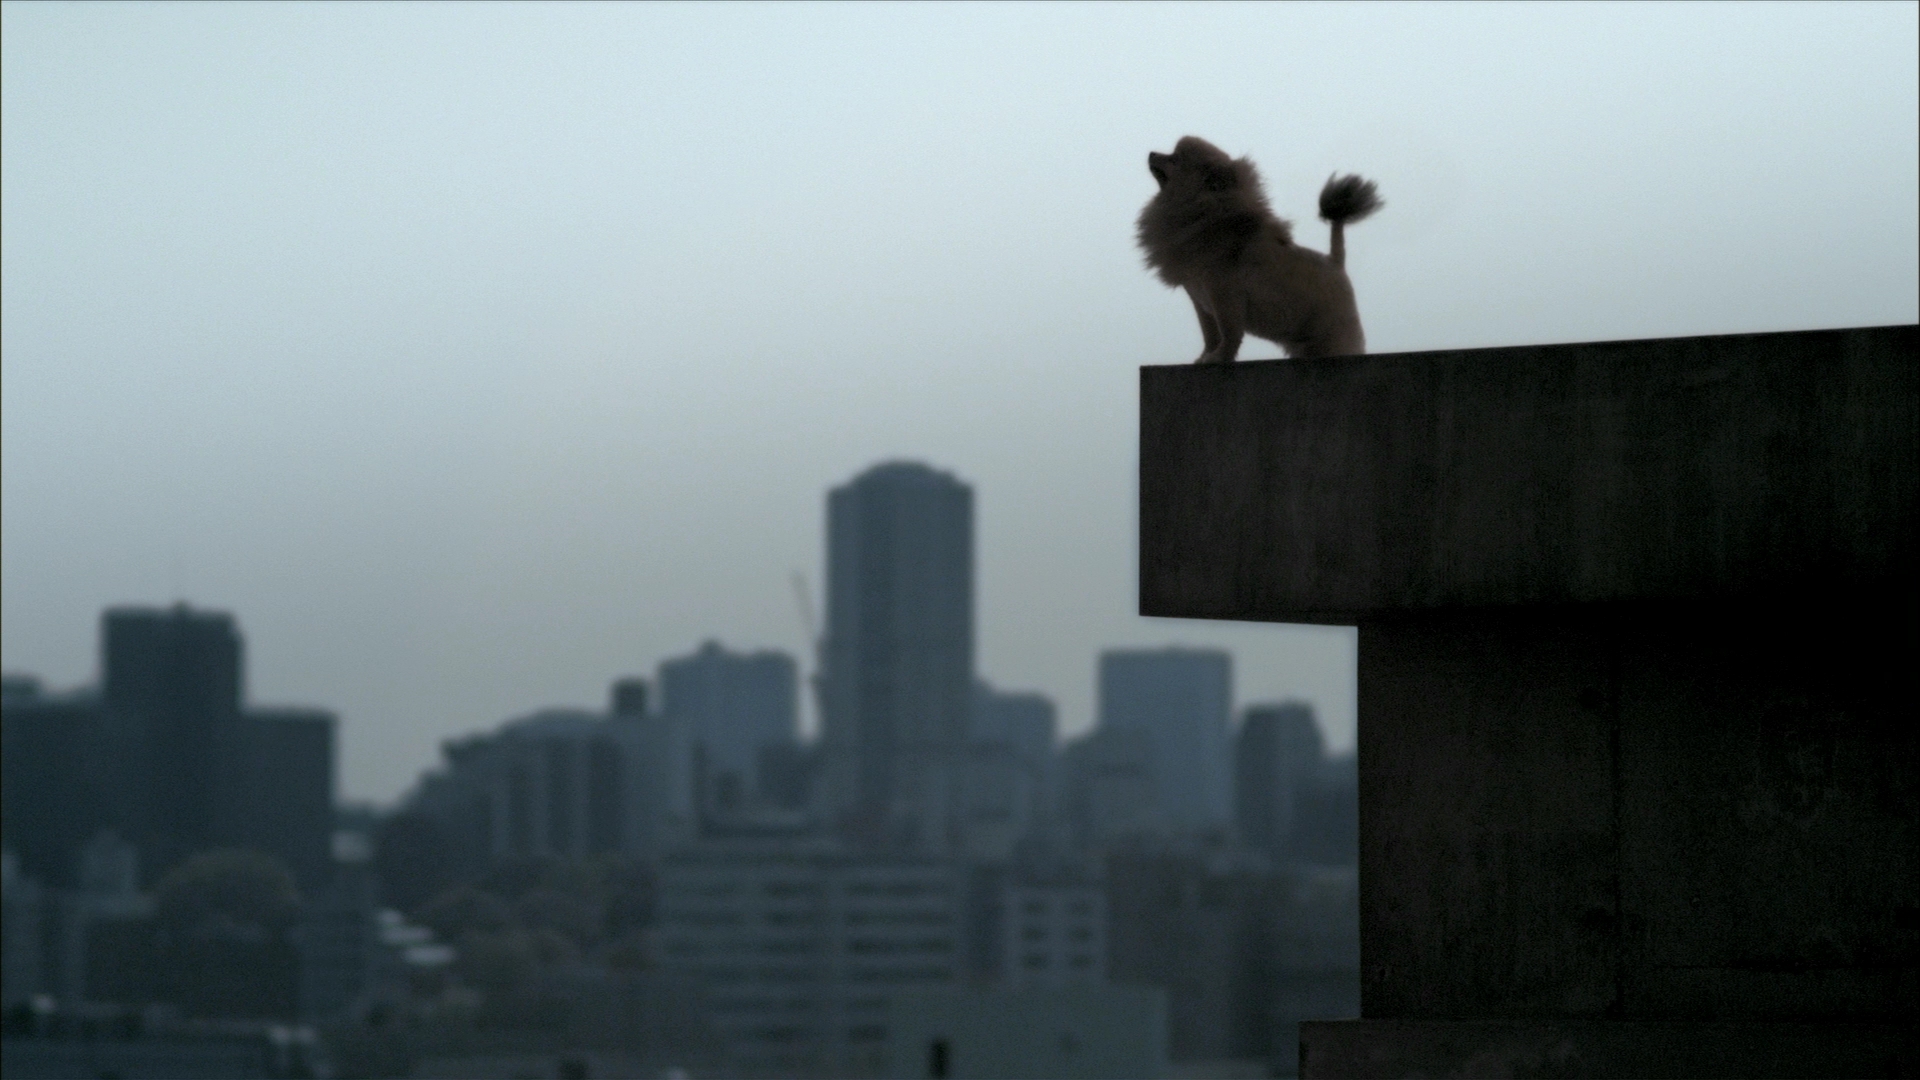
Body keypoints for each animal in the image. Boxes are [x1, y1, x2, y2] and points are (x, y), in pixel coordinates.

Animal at [1136, 136, 1382, 363]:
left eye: (1175, 159)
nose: (1151, 153)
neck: (1205, 214)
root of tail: (1336, 262)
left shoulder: (1224, 296)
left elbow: (1229, 335)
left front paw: (1220, 357)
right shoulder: (1200, 300)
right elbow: (1211, 336)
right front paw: (1205, 357)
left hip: (1331, 336)